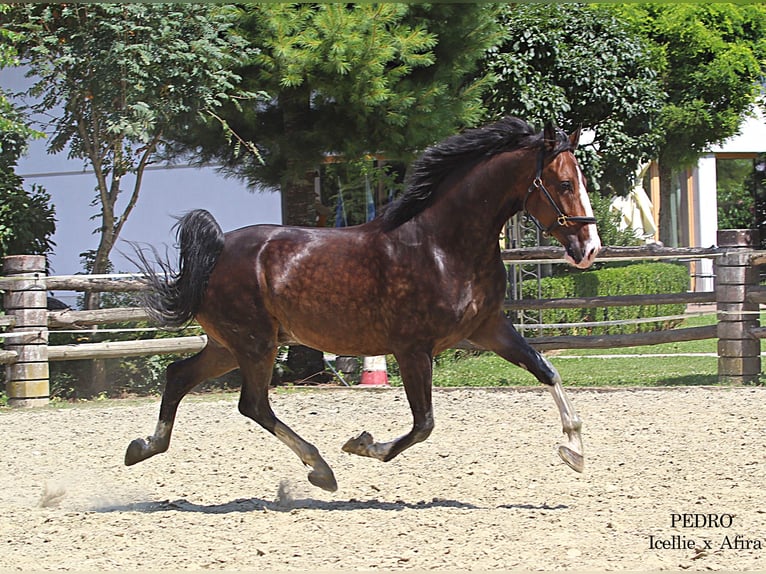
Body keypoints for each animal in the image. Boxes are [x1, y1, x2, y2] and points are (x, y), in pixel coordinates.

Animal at [126, 118, 604, 496]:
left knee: (180, 375)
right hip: (255, 344)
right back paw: (321, 469)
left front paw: (574, 452)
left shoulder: (489, 327)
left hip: (231, 345)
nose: (589, 249)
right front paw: (362, 444)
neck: (441, 245)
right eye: (564, 184)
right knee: (253, 404)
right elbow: (424, 424)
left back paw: (142, 447)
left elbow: (547, 370)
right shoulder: (413, 348)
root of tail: (219, 247)